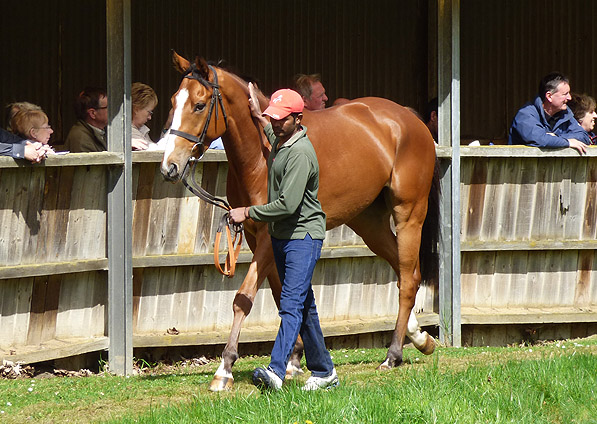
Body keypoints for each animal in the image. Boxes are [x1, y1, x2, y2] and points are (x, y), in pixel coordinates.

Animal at [161, 52, 440, 390]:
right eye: (173, 101)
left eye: (199, 105)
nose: (170, 166)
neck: (262, 154)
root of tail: (409, 119)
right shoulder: (259, 238)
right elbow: (281, 295)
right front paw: (293, 361)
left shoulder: (268, 237)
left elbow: (244, 298)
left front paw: (224, 368)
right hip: (369, 223)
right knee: (404, 272)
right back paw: (419, 337)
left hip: (408, 213)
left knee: (409, 277)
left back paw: (393, 354)